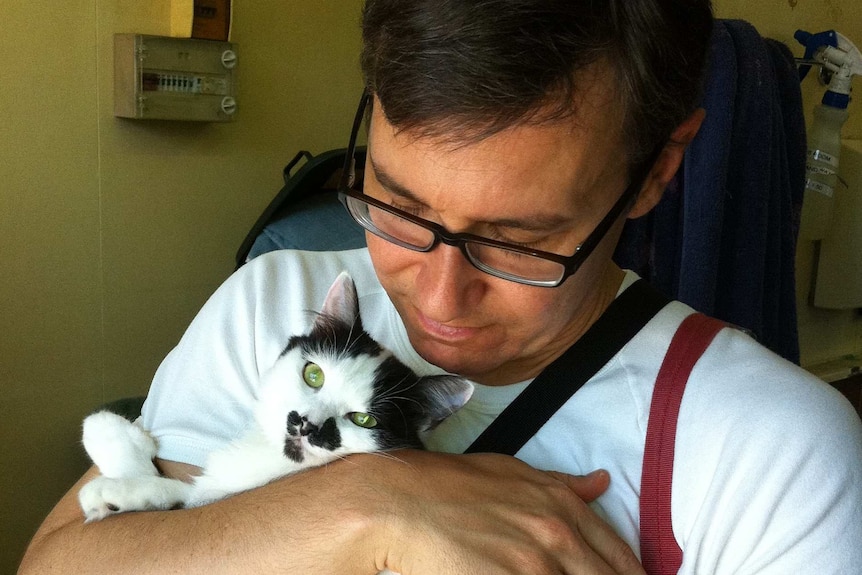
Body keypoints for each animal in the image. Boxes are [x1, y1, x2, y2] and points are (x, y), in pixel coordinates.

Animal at [80, 272, 472, 524]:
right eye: (314, 375)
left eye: (364, 420)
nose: (307, 424)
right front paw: (111, 433)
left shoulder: (212, 497)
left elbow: (182, 494)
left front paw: (117, 492)